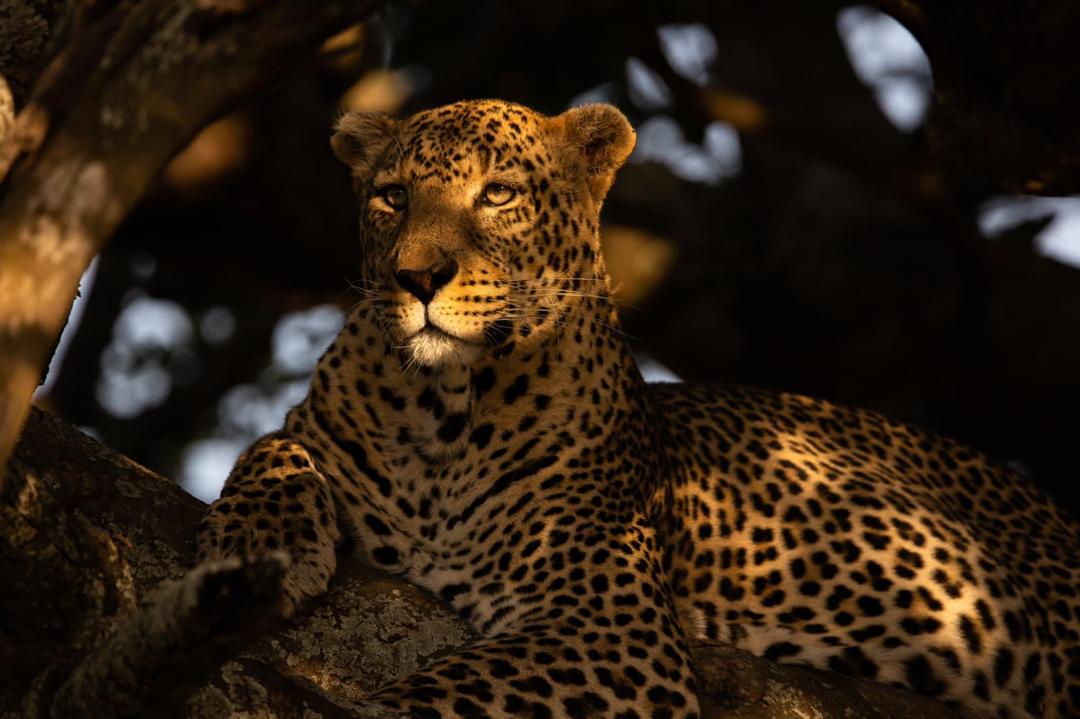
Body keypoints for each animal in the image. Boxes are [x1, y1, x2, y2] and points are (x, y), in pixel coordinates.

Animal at [197, 99, 1080, 718]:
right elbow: (269, 448)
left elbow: (435, 695)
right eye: (390, 197)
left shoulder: (607, 623)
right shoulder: (309, 432)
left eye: (497, 193)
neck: (440, 413)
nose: (416, 277)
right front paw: (254, 545)